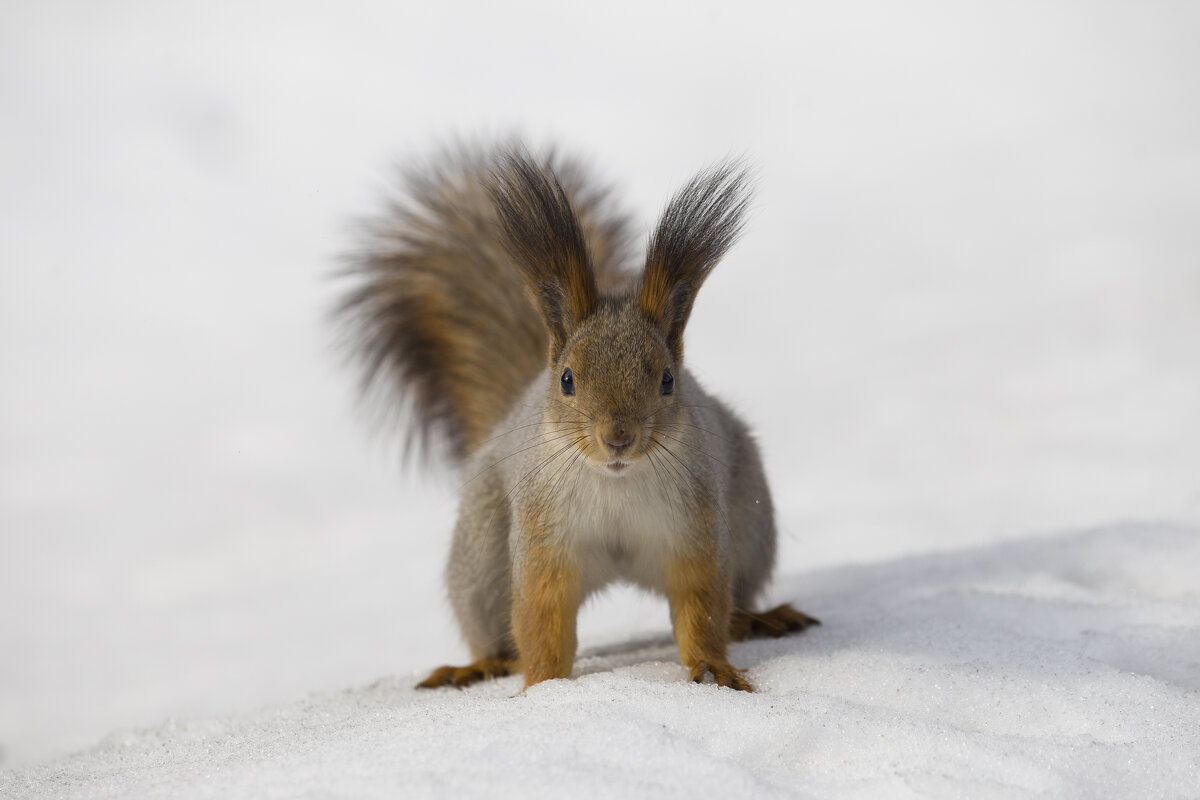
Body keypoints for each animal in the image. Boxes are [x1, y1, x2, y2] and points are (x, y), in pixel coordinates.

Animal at [343, 140, 820, 690]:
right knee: (493, 629)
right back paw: (480, 665)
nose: (618, 437)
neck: (615, 483)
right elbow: (542, 615)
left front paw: (713, 669)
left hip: (749, 528)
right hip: (481, 557)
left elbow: (700, 605)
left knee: (735, 598)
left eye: (667, 380)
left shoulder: (696, 529)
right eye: (568, 380)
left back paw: (758, 618)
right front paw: (545, 690)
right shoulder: (543, 538)